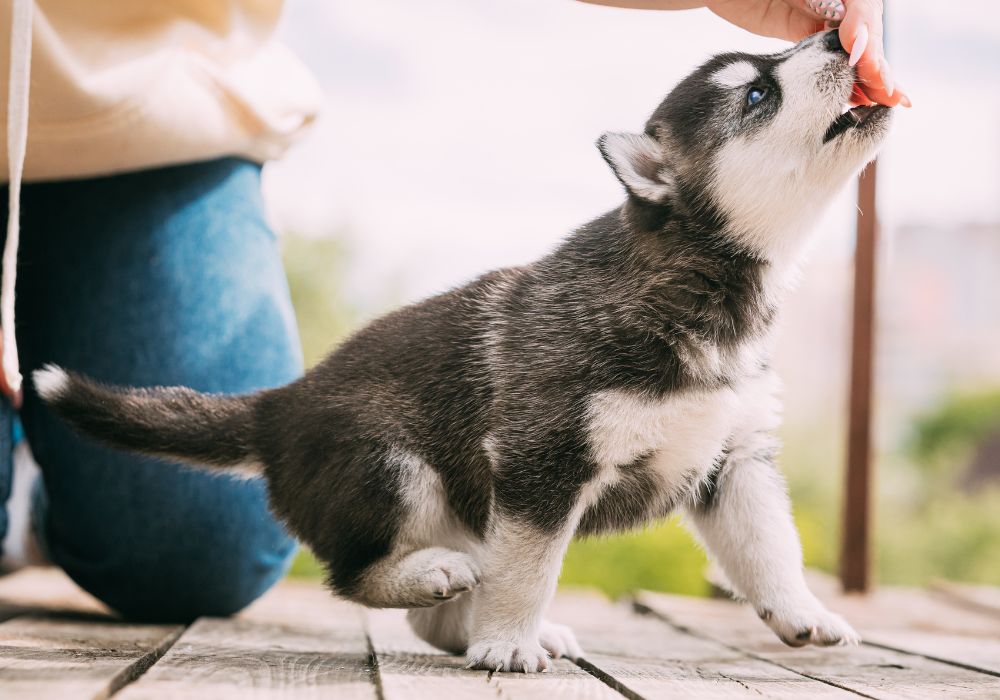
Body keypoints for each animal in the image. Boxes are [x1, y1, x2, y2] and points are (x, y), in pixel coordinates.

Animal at [33, 28, 892, 672]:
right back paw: (436, 581)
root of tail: (282, 404)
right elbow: (529, 568)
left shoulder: (734, 459)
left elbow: (769, 549)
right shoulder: (545, 459)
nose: (833, 34)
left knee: (440, 603)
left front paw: (804, 613)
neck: (705, 285)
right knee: (356, 575)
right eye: (757, 95)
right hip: (392, 466)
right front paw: (508, 642)